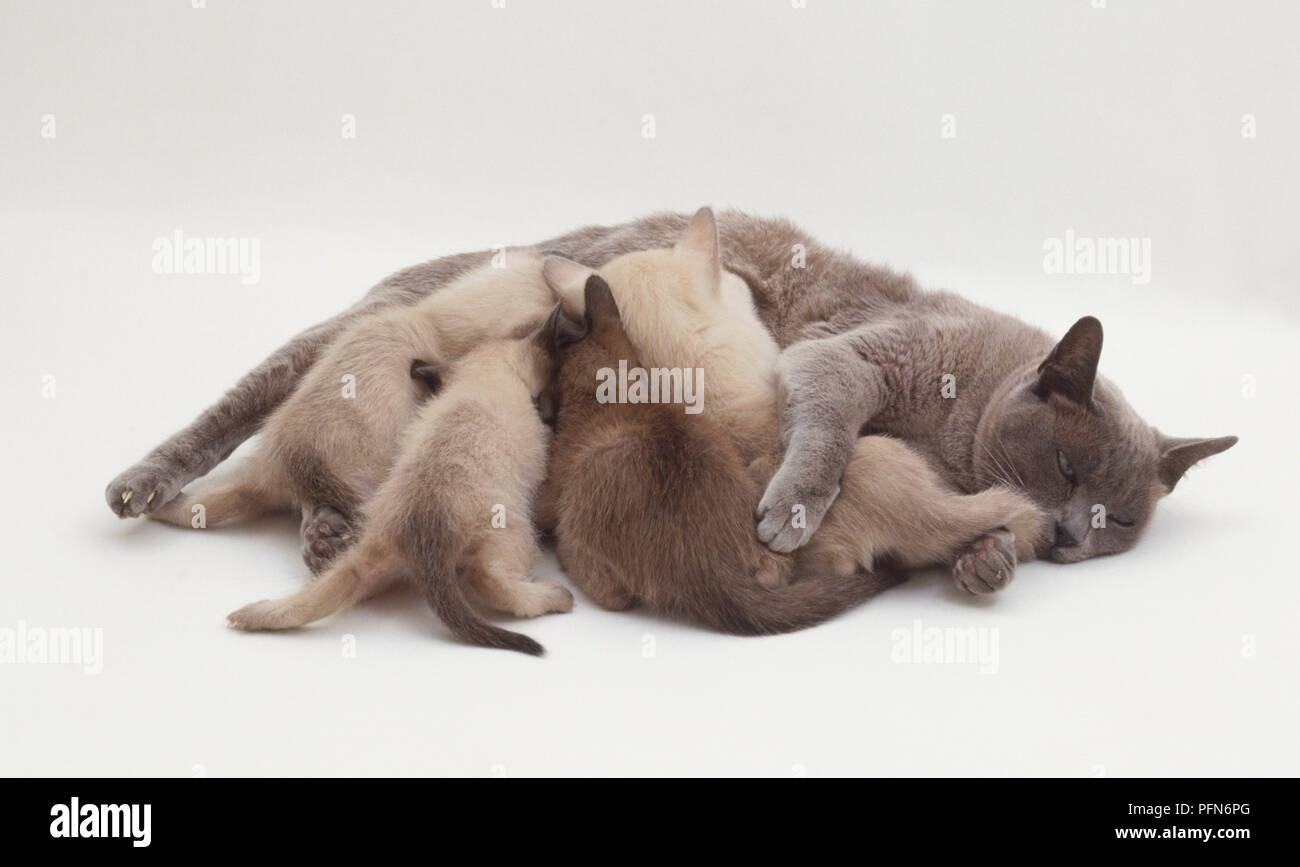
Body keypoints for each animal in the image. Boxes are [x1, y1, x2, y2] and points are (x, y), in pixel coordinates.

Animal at [224, 335, 569, 657]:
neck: (482, 376)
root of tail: (419, 530)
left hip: (367, 555)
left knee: (321, 593)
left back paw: (252, 614)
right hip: (514, 534)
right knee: (487, 578)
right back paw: (556, 596)